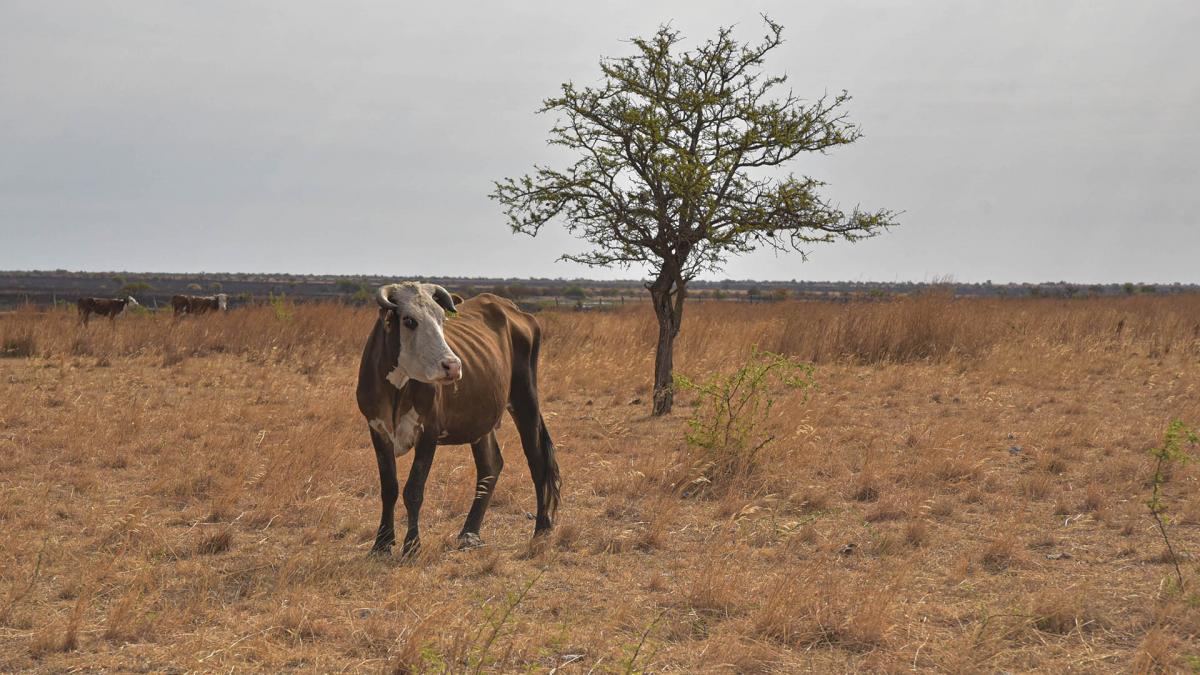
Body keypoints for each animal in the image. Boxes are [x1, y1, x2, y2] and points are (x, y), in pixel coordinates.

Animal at [355, 279, 561, 552]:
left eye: (442, 318)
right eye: (409, 320)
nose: (452, 366)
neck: (397, 389)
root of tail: (512, 309)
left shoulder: (429, 433)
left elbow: (413, 491)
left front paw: (412, 546)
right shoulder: (377, 430)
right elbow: (389, 488)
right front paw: (381, 543)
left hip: (525, 399)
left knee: (537, 461)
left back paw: (542, 528)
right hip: (482, 419)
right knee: (490, 465)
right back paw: (469, 532)